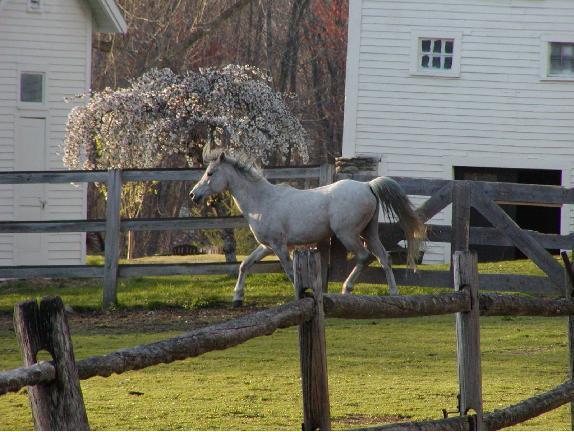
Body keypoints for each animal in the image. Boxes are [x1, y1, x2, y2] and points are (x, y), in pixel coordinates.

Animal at [190, 153, 428, 308]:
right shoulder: (266, 246)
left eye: (210, 173)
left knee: (364, 256)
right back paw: (394, 293)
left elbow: (289, 271)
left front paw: (301, 295)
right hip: (368, 233)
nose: (193, 195)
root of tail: (367, 185)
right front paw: (237, 299)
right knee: (384, 257)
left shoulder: (279, 246)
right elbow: (244, 265)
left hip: (348, 234)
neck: (263, 201)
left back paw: (346, 288)